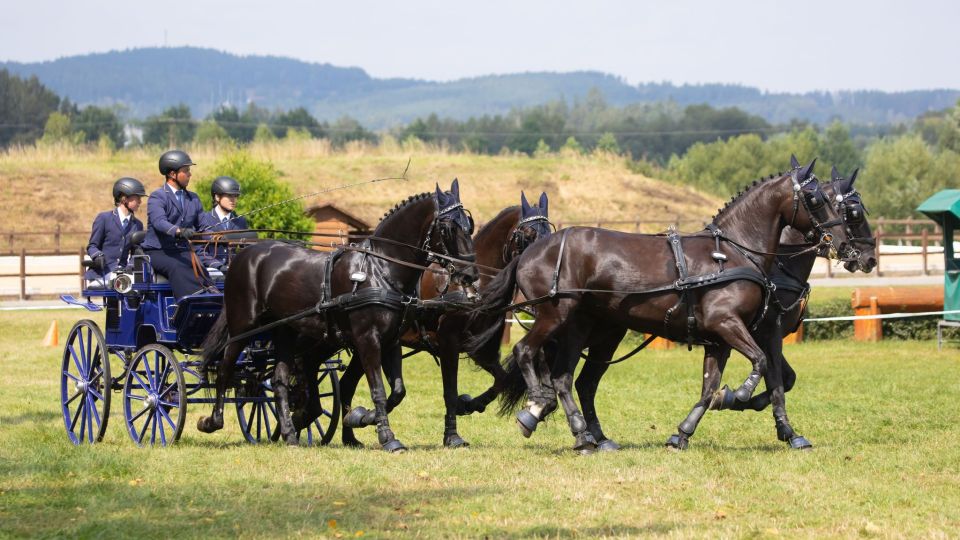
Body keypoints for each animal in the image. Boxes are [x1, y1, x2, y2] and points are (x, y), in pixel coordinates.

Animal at [199, 179, 479, 452]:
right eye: (447, 228)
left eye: (469, 225)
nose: (471, 274)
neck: (381, 269)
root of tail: (244, 254)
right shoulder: (367, 339)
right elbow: (378, 389)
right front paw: (386, 436)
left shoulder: (392, 341)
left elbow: (397, 391)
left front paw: (360, 417)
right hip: (243, 326)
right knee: (224, 369)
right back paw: (213, 421)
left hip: (289, 331)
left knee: (281, 378)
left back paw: (291, 431)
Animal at [336, 191, 553, 448]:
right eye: (528, 235)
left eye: (549, 233)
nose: (545, 272)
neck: (475, 287)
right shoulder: (449, 343)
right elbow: (450, 390)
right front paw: (452, 436)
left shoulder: (480, 350)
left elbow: (502, 380)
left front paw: (468, 405)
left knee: (346, 384)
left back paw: (350, 434)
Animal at [466, 158, 869, 453]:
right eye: (816, 199)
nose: (858, 253)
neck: (735, 252)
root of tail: (531, 251)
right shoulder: (731, 324)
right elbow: (762, 366)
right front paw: (738, 397)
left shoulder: (722, 338)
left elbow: (716, 386)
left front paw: (685, 432)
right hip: (556, 316)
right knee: (527, 352)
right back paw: (538, 408)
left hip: (588, 329)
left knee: (569, 377)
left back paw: (585, 435)